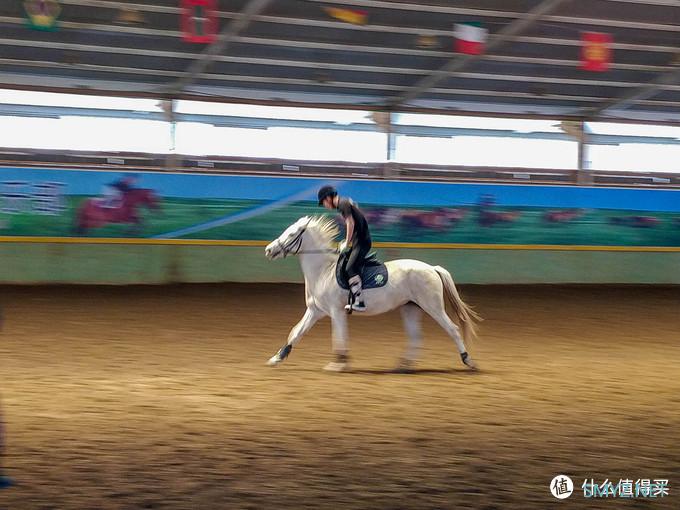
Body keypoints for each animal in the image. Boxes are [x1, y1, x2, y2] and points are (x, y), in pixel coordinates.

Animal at [262, 215, 480, 370]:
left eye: (292, 234)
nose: (269, 250)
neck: (323, 270)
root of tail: (432, 268)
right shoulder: (316, 311)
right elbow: (296, 332)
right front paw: (276, 358)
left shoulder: (336, 311)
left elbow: (338, 336)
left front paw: (339, 363)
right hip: (410, 308)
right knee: (416, 336)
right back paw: (403, 365)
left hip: (432, 306)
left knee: (453, 329)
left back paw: (468, 361)